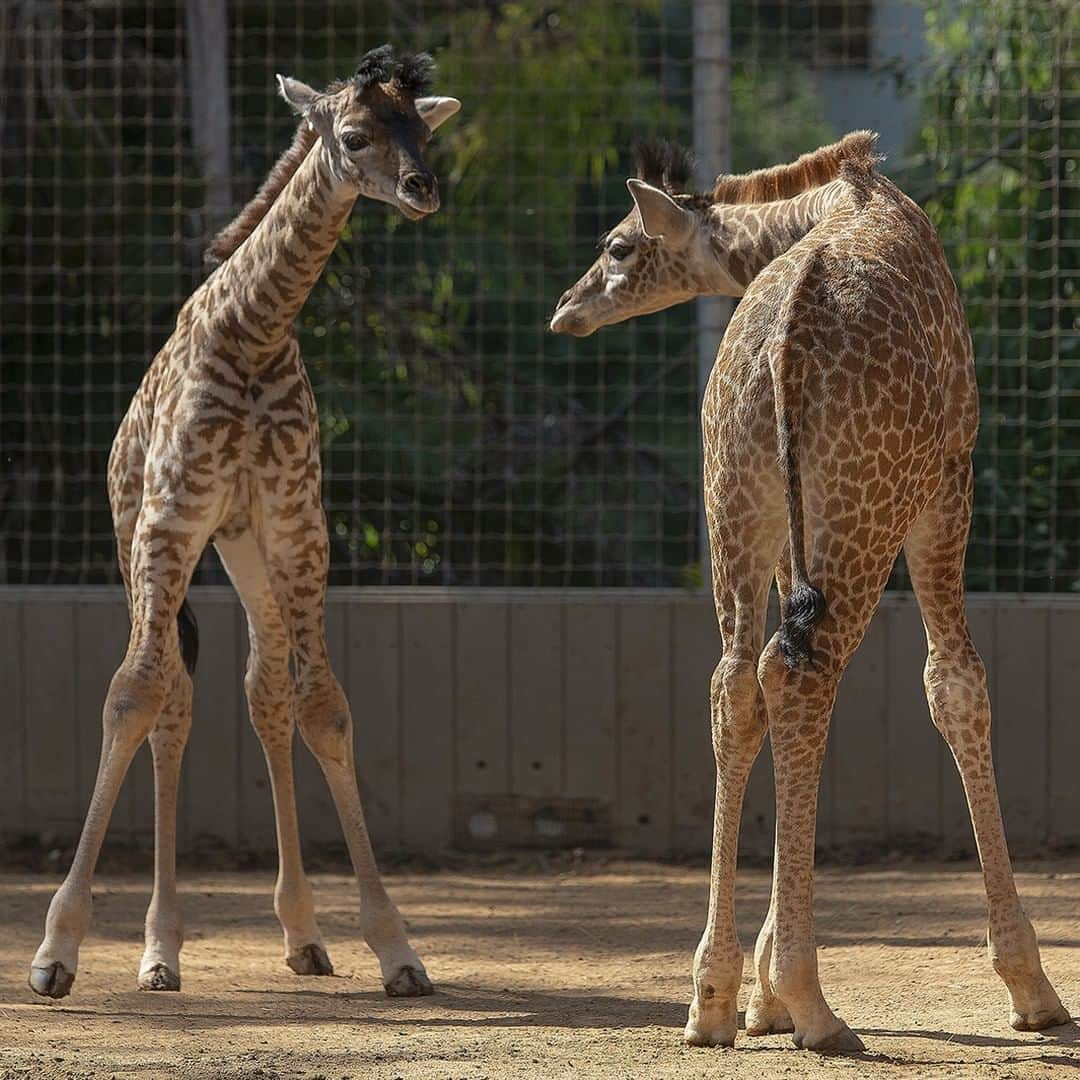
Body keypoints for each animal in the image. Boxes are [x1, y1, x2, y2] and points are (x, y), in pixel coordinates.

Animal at [29, 44, 460, 1002]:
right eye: (354, 135)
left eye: (423, 131)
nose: (422, 190)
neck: (255, 330)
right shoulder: (168, 519)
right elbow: (131, 694)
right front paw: (56, 950)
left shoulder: (300, 525)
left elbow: (322, 706)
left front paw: (396, 947)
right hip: (145, 542)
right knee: (170, 698)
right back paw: (158, 952)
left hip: (245, 548)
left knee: (264, 689)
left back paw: (301, 933)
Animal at [552, 135, 1067, 1054]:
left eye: (616, 247)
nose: (564, 311)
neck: (831, 201)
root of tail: (781, 346)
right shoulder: (949, 485)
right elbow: (955, 686)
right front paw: (1030, 986)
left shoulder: (793, 538)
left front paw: (758, 1000)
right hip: (868, 509)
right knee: (802, 676)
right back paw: (815, 1005)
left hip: (738, 502)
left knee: (739, 683)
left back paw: (712, 999)